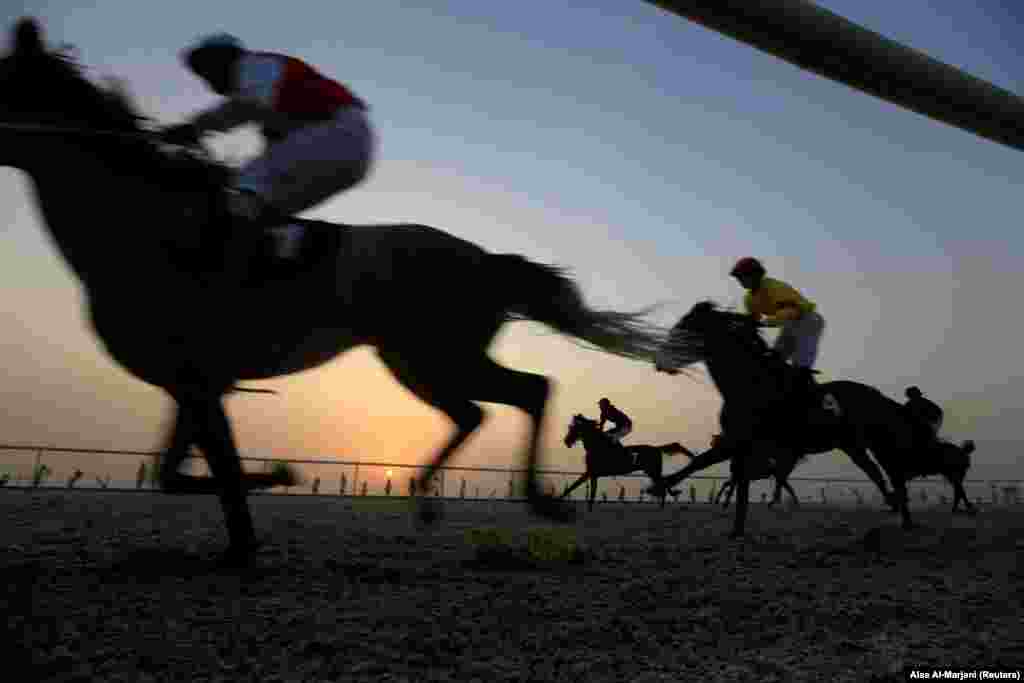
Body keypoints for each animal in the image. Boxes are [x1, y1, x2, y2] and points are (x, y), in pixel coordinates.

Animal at [0, 18, 663, 565]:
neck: (139, 223)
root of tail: (486, 261)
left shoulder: (200, 379)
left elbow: (221, 469)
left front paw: (270, 491)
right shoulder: (190, 382)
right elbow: (177, 473)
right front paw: (254, 515)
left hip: (436, 353)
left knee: (528, 389)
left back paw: (536, 500)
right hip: (413, 360)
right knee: (478, 409)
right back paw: (429, 497)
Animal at [561, 411, 696, 507]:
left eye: (572, 428)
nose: (566, 441)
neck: (597, 446)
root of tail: (656, 448)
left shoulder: (591, 473)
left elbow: (578, 488)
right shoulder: (591, 473)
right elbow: (584, 491)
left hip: (653, 470)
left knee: (663, 483)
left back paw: (664, 503)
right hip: (651, 471)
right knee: (663, 483)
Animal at [655, 301, 937, 536]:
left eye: (683, 329)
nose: (659, 361)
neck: (750, 384)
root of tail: (876, 394)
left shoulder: (741, 441)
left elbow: (710, 465)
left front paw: (663, 485)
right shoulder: (737, 441)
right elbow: (706, 465)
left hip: (876, 441)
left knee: (891, 473)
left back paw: (903, 513)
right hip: (852, 445)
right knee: (875, 472)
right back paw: (897, 509)